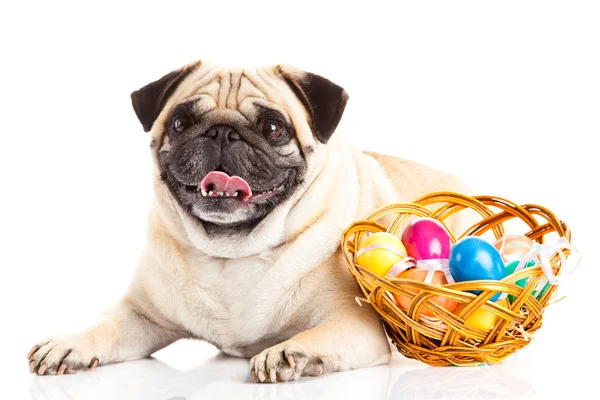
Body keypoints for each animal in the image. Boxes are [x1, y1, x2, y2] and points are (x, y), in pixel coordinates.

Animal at [27, 59, 468, 382]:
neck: (232, 251)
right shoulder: (142, 314)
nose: (222, 132)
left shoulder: (354, 322)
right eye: (181, 123)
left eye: (272, 128)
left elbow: (316, 334)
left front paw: (289, 352)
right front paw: (69, 343)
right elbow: (105, 324)